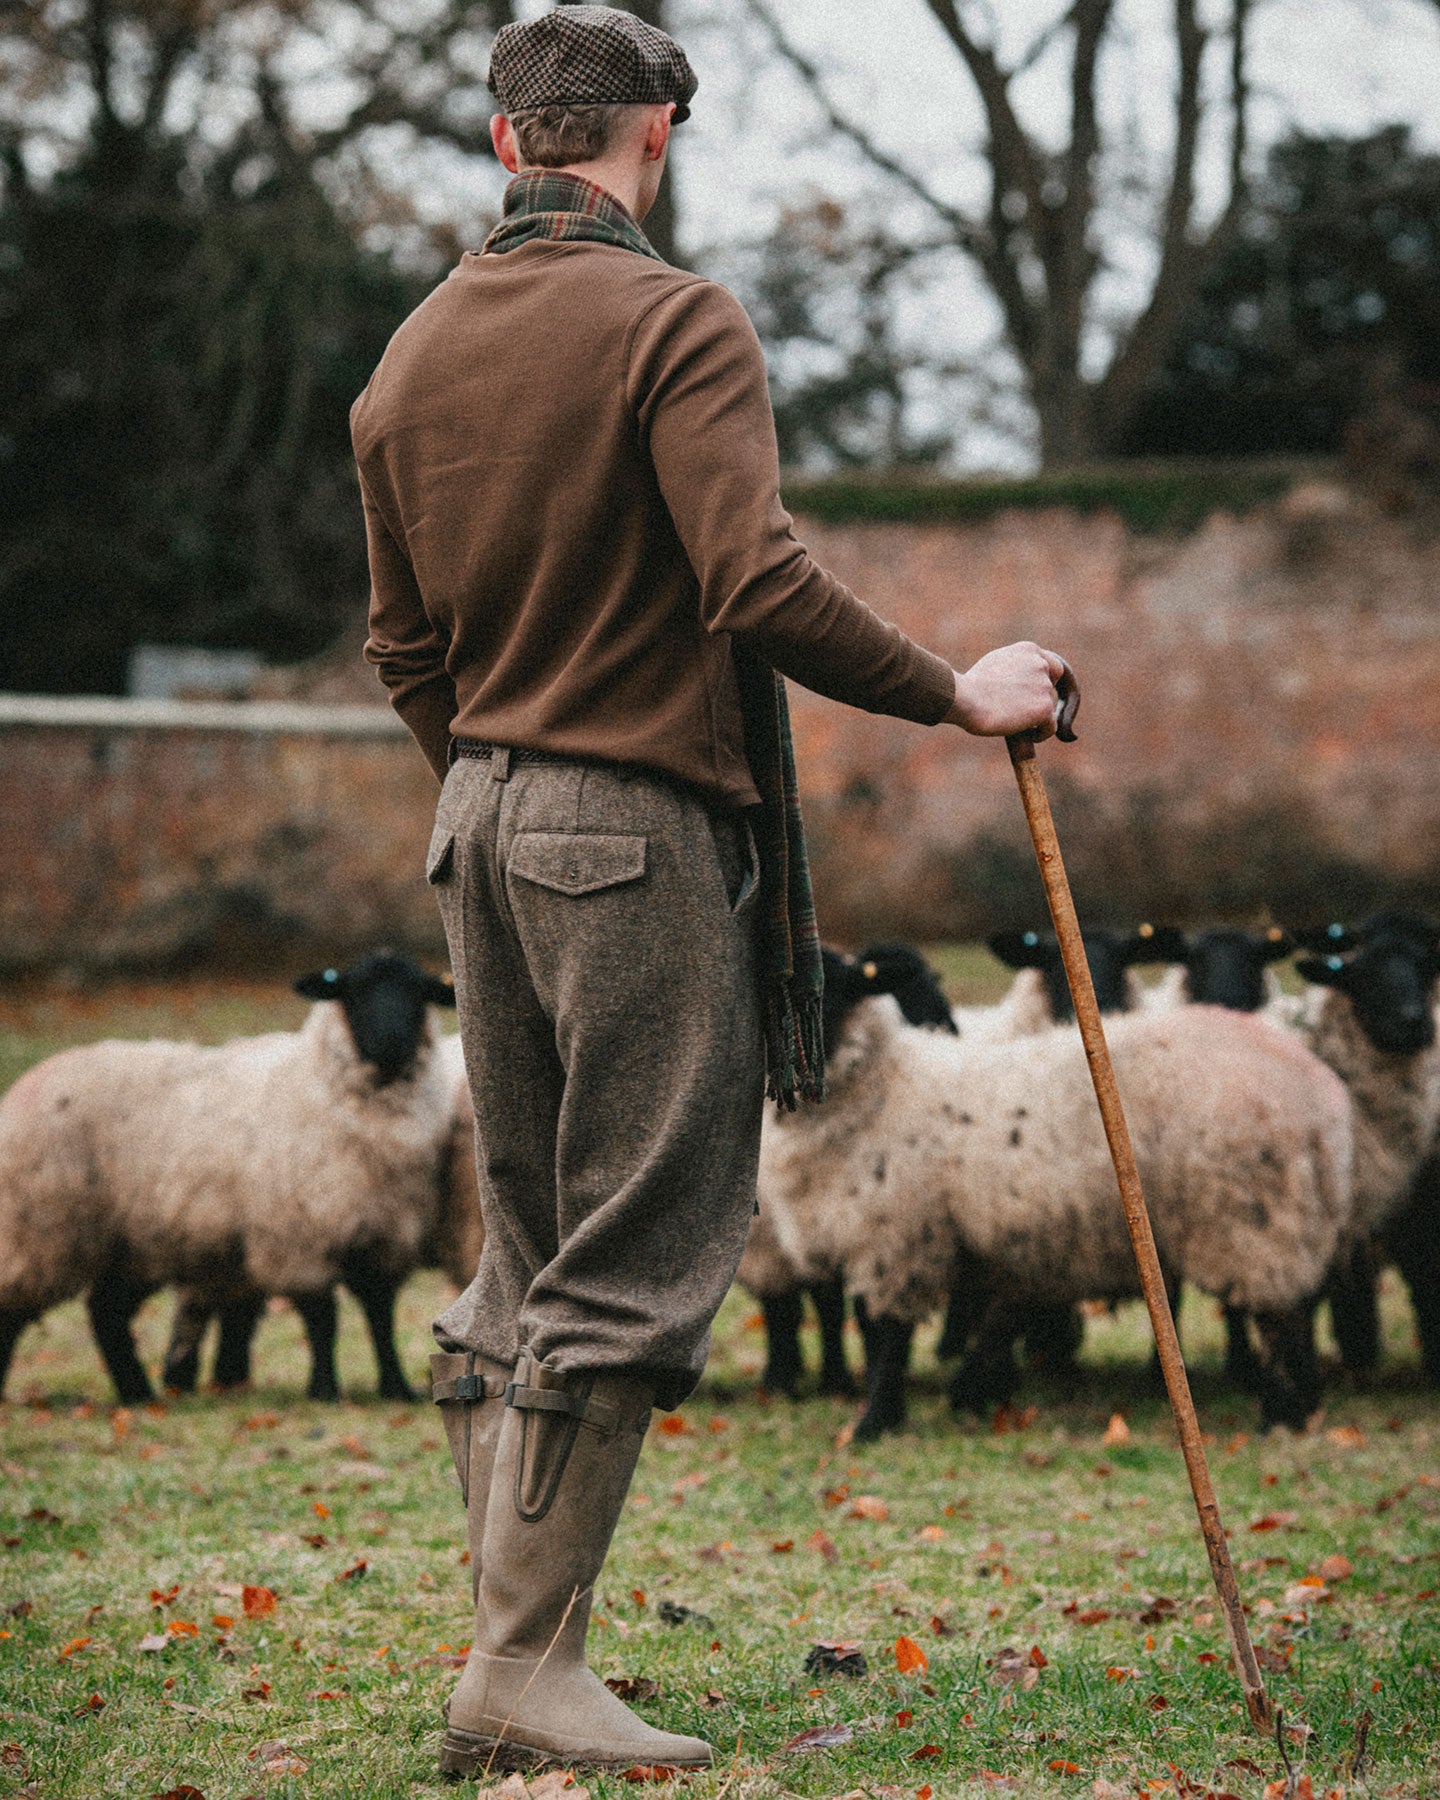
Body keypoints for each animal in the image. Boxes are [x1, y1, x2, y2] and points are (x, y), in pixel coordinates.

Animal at [759, 943, 1353, 1432]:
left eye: (834, 988)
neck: (879, 1085)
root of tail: (1316, 1096)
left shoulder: (894, 1239)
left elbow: (887, 1339)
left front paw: (873, 1424)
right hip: (1287, 1219)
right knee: (1297, 1311)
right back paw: (1304, 1405)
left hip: (1249, 1222)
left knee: (1279, 1319)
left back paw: (1281, 1414)